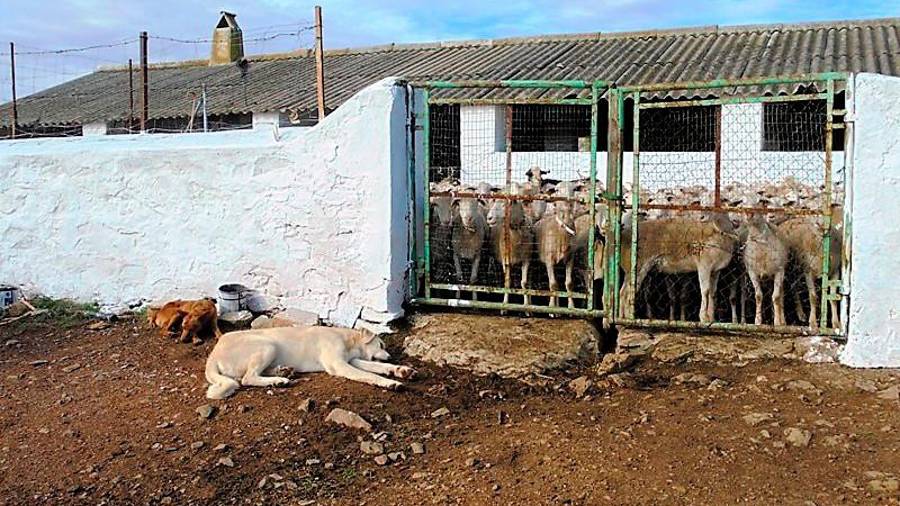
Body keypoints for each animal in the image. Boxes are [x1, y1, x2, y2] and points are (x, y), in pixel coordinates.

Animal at [204, 324, 414, 400]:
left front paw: (399, 370)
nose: (391, 357)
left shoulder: (353, 361)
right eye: (381, 344)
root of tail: (213, 354)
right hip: (267, 346)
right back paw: (279, 380)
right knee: (247, 378)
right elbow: (370, 375)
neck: (347, 340)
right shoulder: (340, 365)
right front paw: (390, 382)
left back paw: (283, 372)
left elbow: (377, 367)